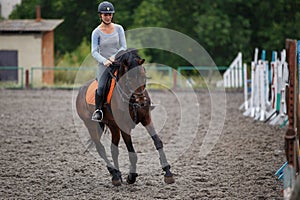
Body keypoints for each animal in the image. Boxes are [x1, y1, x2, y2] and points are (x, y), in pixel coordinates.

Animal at [75, 48, 175, 186]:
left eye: (144, 76)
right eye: (129, 79)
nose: (141, 103)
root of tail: (81, 90)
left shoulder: (146, 118)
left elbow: (158, 142)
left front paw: (168, 173)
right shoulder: (124, 126)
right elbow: (132, 152)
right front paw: (131, 176)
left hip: (112, 126)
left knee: (113, 149)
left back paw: (118, 175)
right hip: (91, 125)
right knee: (101, 149)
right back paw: (114, 175)